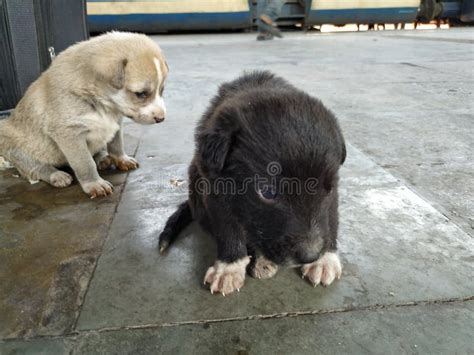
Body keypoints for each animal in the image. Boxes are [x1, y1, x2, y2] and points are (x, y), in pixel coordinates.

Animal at [0, 32, 168, 199]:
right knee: (34, 168)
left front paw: (121, 159)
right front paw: (94, 184)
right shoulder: (69, 132)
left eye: (161, 90)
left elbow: (116, 144)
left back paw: (103, 158)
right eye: (141, 94)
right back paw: (56, 175)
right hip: (17, 149)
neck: (102, 101)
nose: (161, 119)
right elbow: (85, 162)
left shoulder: (116, 122)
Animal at [159, 71, 344, 296]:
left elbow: (332, 217)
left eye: (328, 188)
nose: (310, 255)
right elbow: (229, 228)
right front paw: (230, 266)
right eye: (268, 192)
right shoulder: (215, 190)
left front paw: (325, 259)